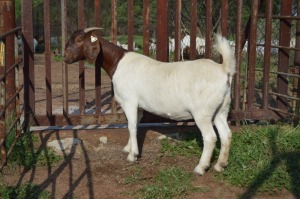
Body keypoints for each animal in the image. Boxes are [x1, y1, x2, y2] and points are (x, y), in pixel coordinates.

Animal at [63, 27, 237, 175]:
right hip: (221, 109)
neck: (118, 63)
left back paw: (201, 168)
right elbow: (134, 125)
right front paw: (128, 148)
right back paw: (220, 165)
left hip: (202, 113)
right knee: (226, 134)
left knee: (210, 137)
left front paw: (132, 155)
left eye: (79, 40)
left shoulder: (129, 102)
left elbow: (131, 126)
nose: (65, 56)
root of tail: (223, 70)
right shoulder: (139, 107)